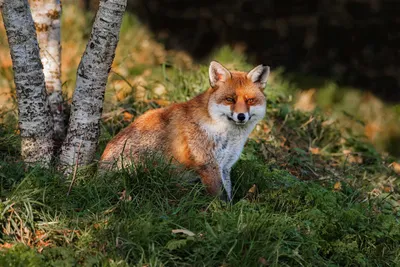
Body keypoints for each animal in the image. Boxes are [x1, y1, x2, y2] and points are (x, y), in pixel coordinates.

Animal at [100, 61, 270, 201]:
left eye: (250, 100)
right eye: (230, 99)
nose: (241, 116)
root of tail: (98, 169)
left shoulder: (225, 166)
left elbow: (228, 195)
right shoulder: (208, 165)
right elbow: (219, 198)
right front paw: (221, 213)